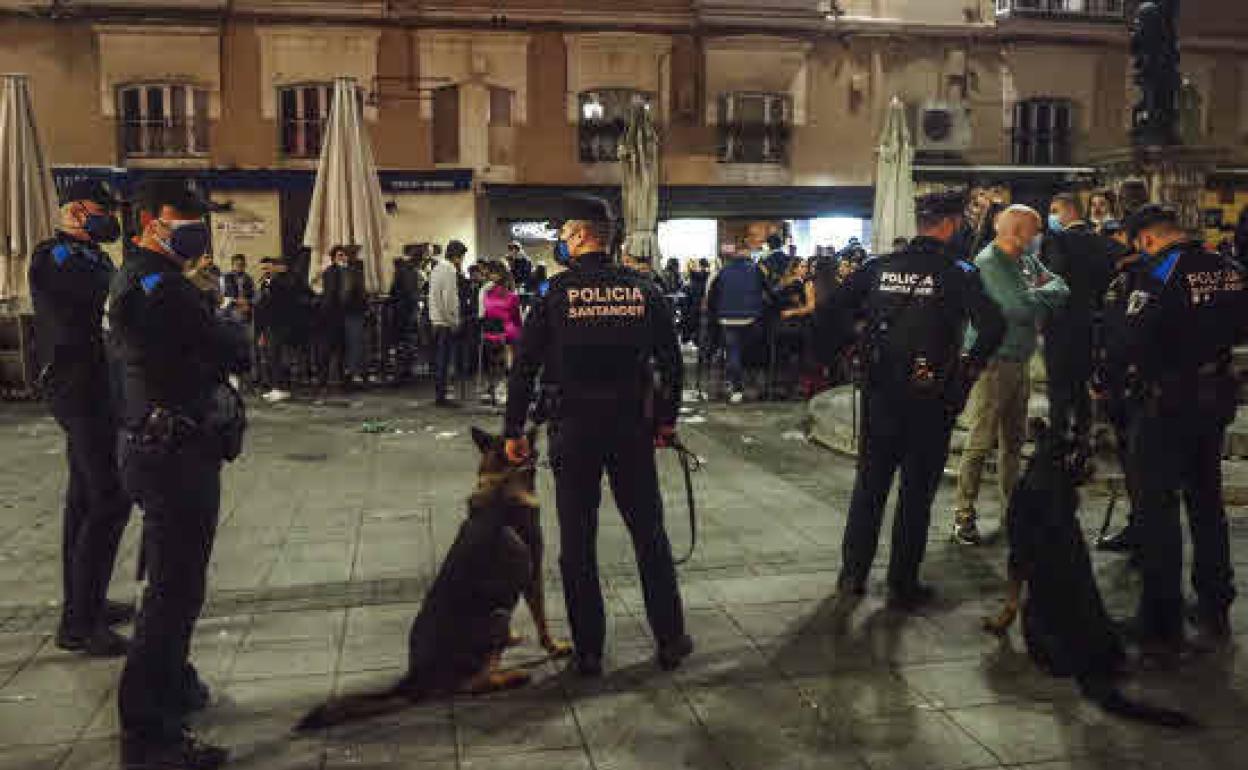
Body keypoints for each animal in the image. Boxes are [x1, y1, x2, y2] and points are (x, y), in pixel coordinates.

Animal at [299, 429, 571, 728]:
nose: (537, 428)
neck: (503, 479)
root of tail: (414, 678)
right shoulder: (533, 576)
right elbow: (541, 619)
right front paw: (554, 647)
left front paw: (515, 639)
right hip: (497, 615)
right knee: (472, 685)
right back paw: (511, 677)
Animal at [978, 419, 1193, 728]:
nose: (1037, 420)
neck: (1052, 470)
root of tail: (1091, 664)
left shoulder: (1016, 556)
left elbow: (1010, 599)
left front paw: (997, 623)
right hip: (1114, 645)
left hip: (1032, 614)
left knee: (1055, 665)